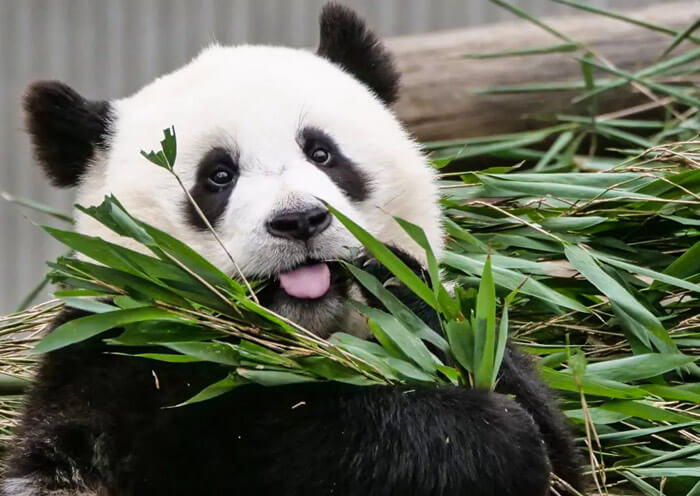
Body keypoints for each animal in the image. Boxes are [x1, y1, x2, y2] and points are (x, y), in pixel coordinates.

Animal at [2, 4, 582, 496]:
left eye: (322, 153)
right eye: (218, 175)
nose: (299, 220)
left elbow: (558, 446)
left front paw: (399, 288)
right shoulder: (120, 365)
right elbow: (271, 444)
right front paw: (489, 433)